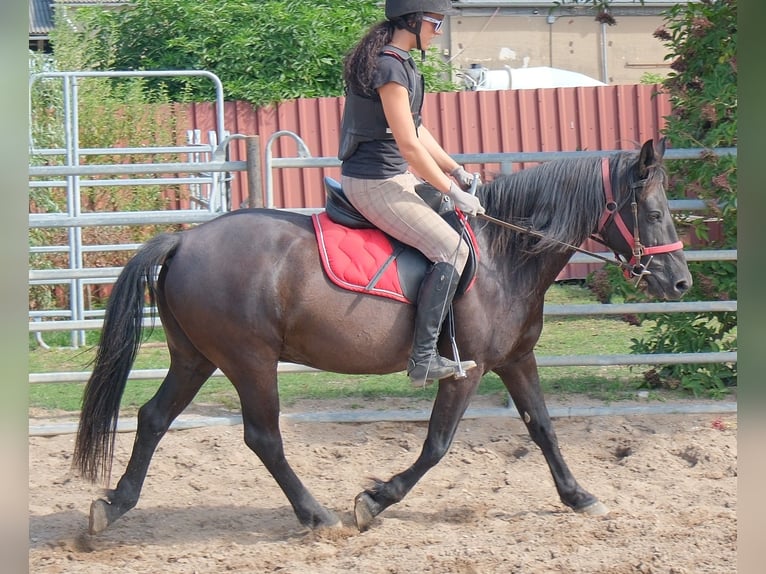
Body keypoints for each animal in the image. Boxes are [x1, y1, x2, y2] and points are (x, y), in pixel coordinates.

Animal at [73, 138, 691, 535]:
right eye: (653, 210)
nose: (681, 281)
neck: (503, 256)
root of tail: (184, 240)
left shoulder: (517, 360)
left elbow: (542, 429)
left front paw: (579, 496)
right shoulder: (466, 371)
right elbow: (437, 445)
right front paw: (374, 500)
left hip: (196, 358)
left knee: (154, 418)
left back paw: (113, 506)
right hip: (249, 361)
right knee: (263, 437)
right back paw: (316, 516)